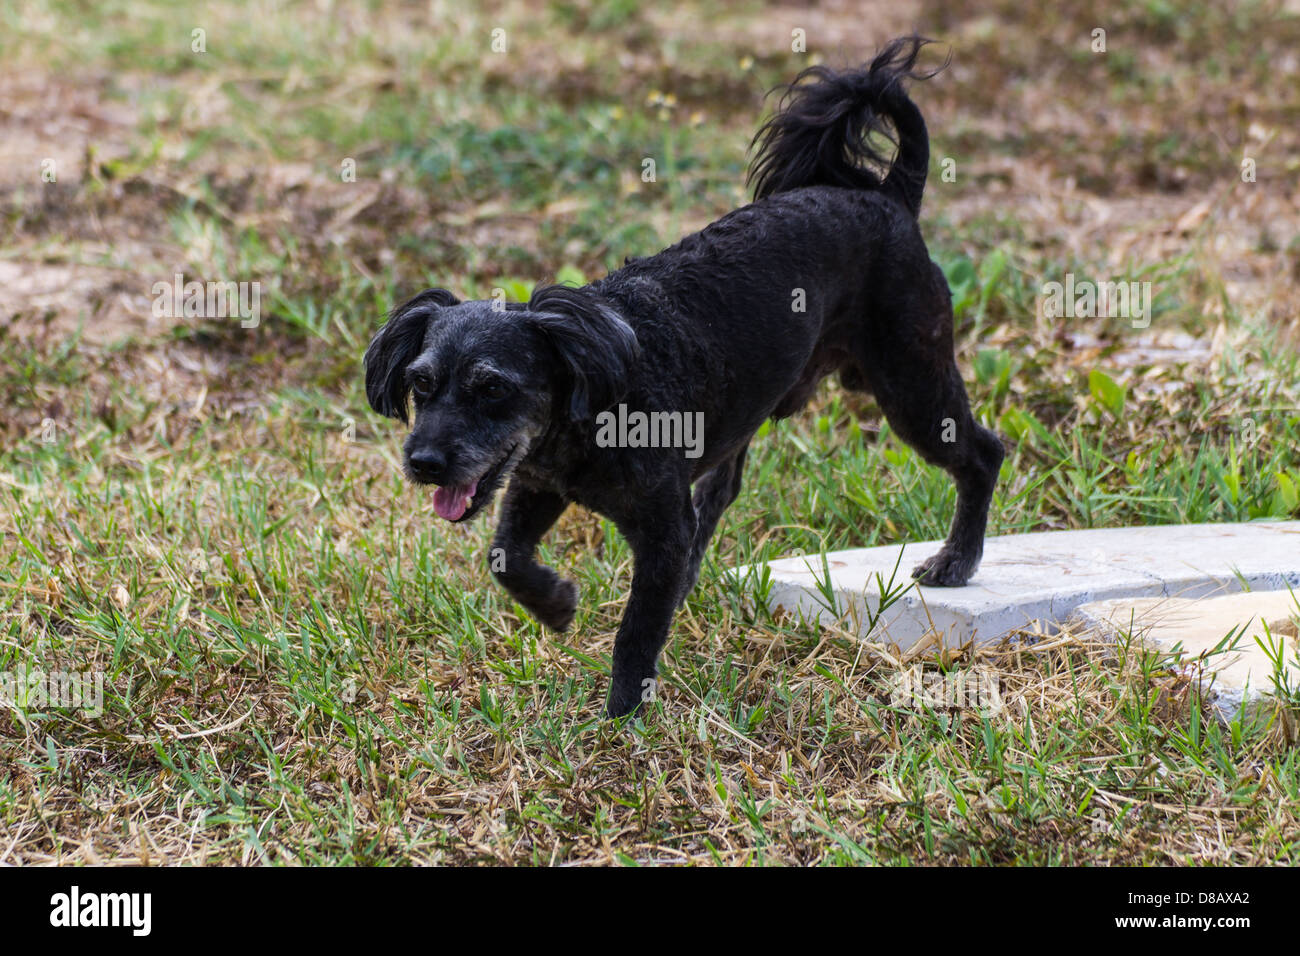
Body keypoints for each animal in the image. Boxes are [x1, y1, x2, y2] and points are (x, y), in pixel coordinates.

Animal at [366, 37, 1003, 723]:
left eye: (491, 388)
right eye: (421, 384)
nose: (425, 462)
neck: (594, 392)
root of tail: (891, 196)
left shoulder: (658, 533)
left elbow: (636, 628)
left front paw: (622, 714)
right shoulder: (537, 484)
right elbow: (504, 556)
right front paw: (556, 603)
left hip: (912, 385)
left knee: (984, 453)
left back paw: (957, 560)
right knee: (723, 489)